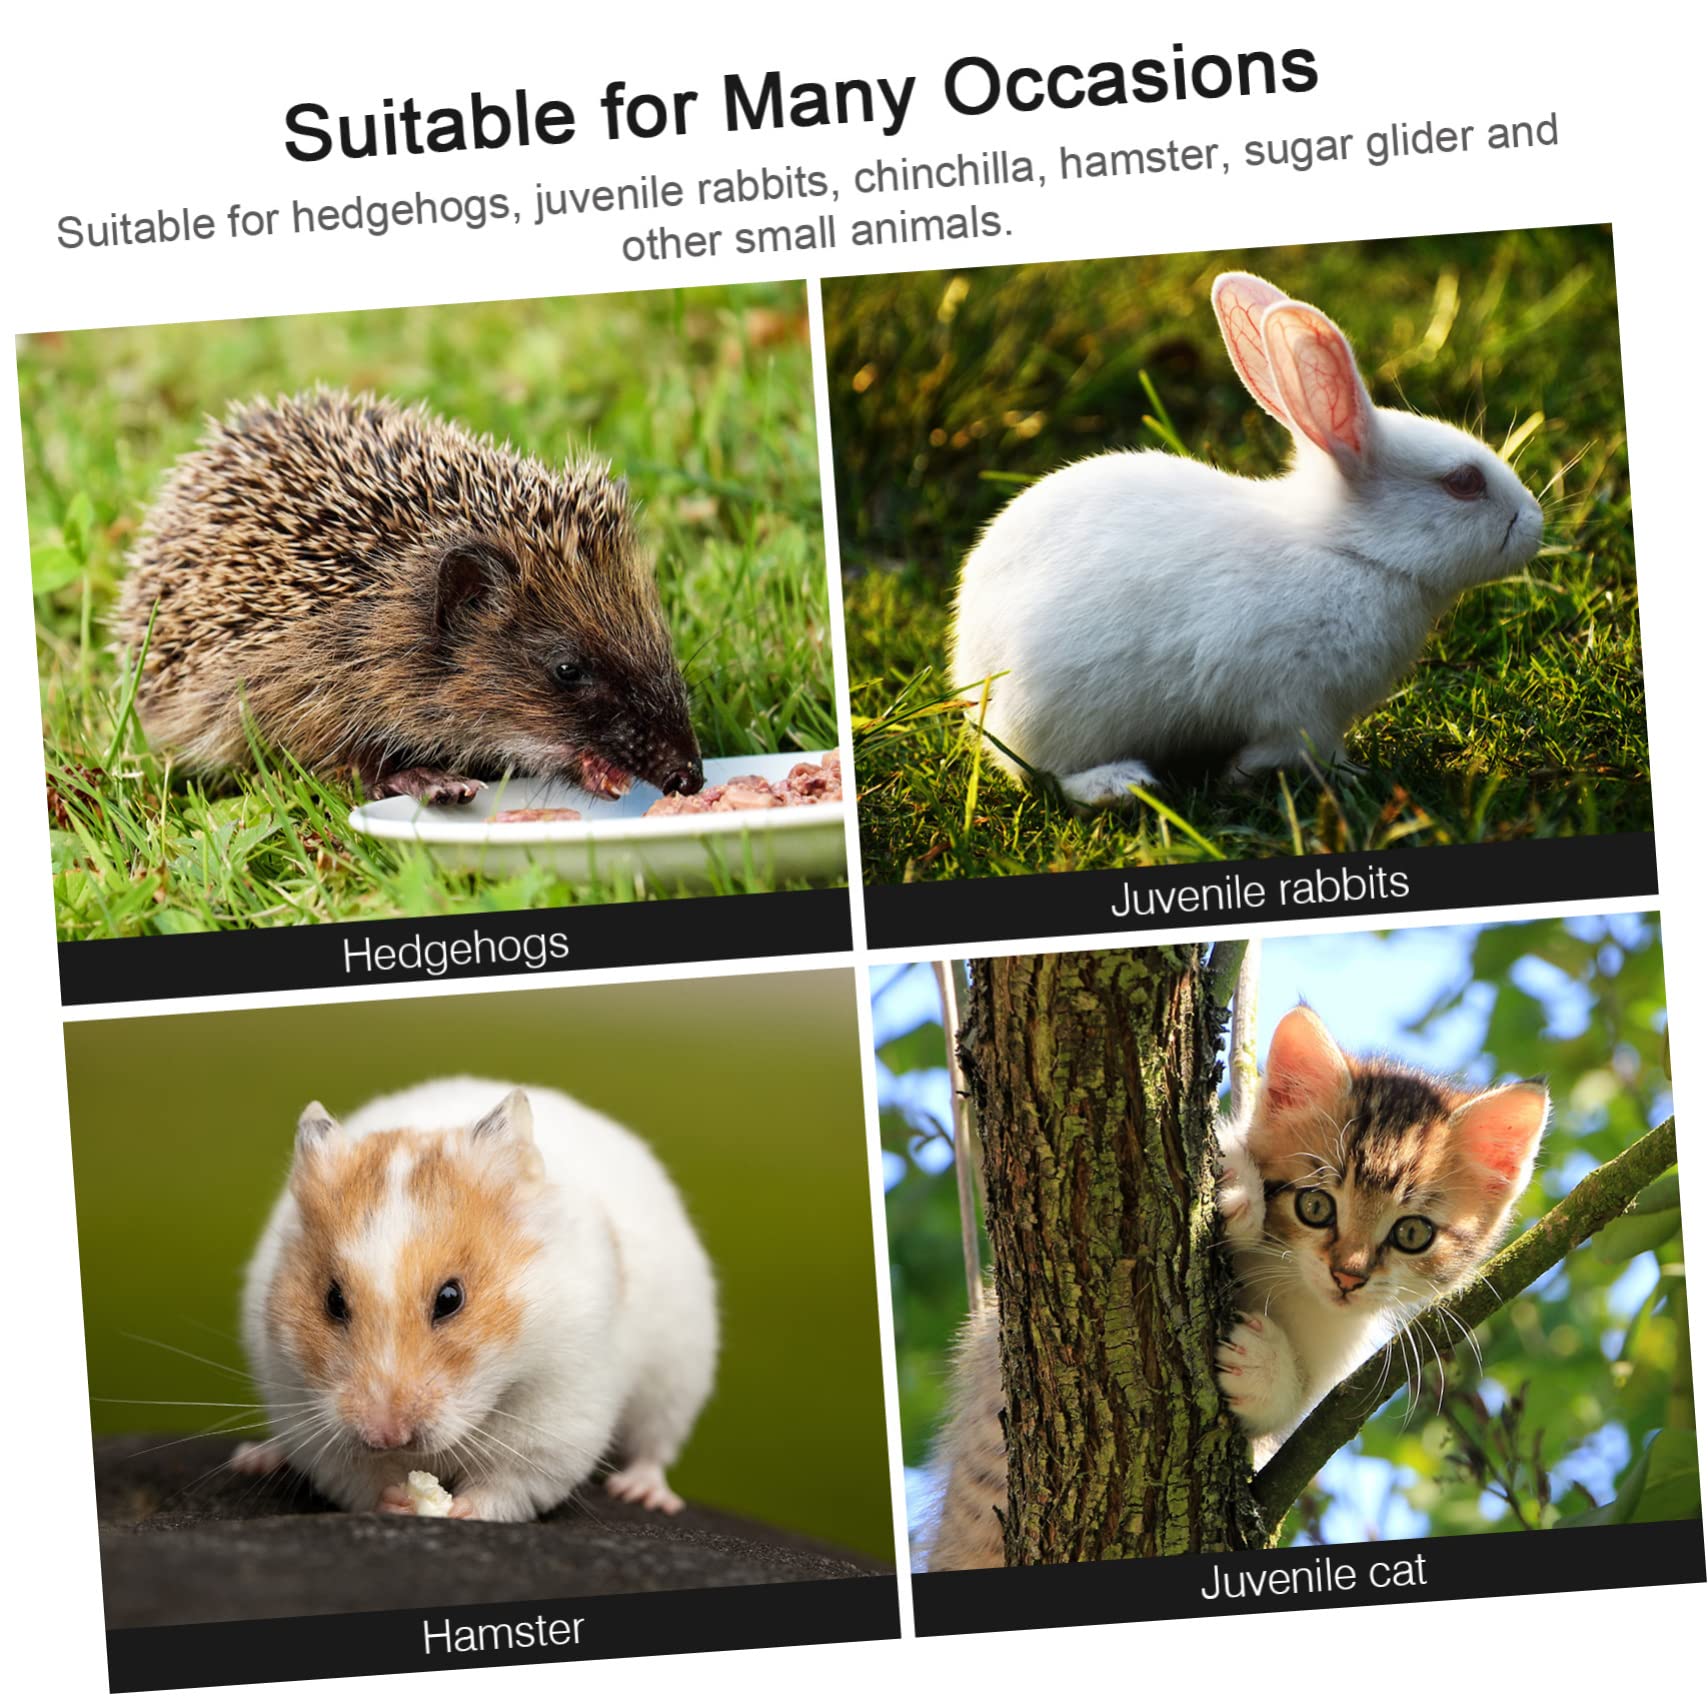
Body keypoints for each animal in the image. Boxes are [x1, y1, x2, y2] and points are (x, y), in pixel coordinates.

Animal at [229, 1076, 717, 1521]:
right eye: (333, 1300)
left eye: (450, 1298)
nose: (386, 1436)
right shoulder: (305, 1411)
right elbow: (358, 1479)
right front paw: (400, 1501)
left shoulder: (556, 1418)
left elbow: (508, 1484)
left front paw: (459, 1511)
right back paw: (256, 1458)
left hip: (677, 1376)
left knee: (654, 1446)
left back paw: (643, 1493)